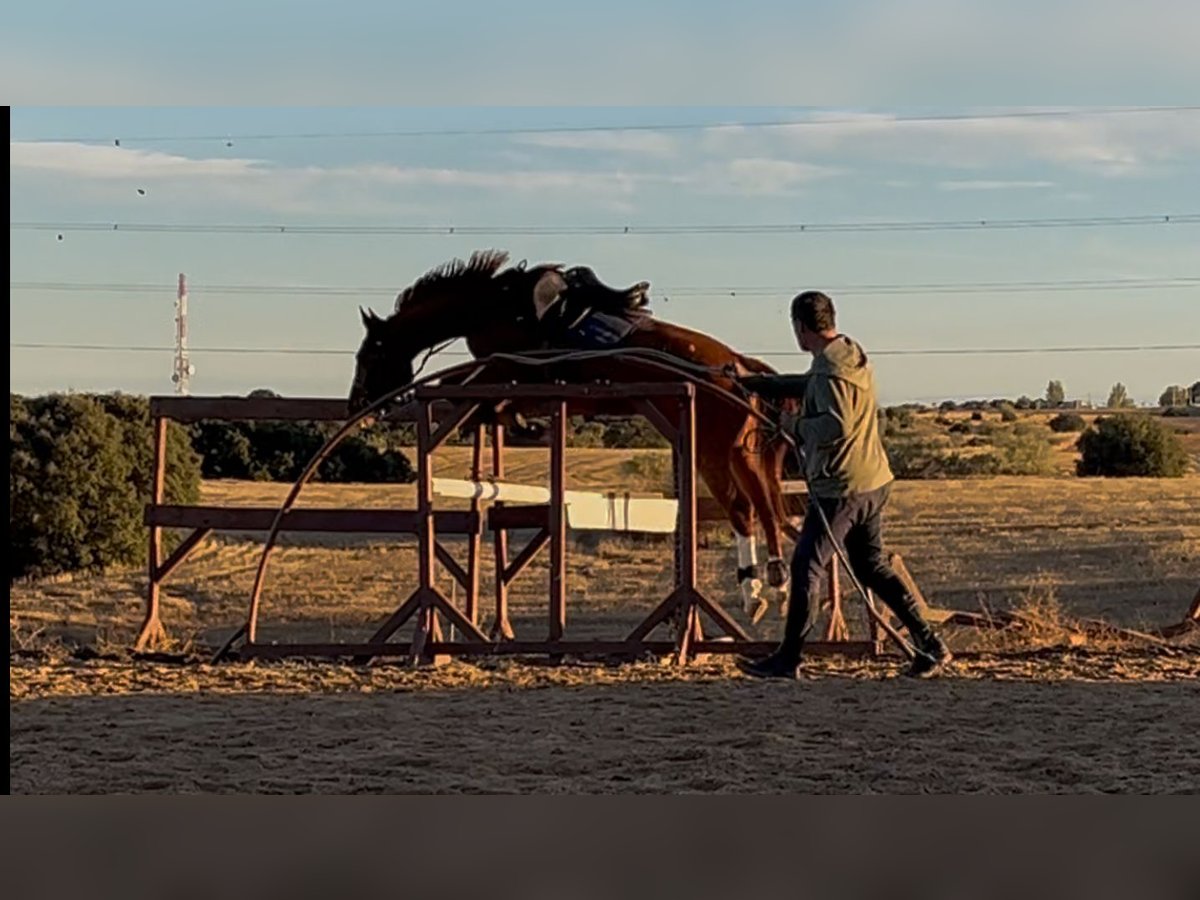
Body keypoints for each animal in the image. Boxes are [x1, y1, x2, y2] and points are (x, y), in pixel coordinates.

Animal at [347, 250, 799, 622]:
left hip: (712, 447)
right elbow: (491, 404)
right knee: (763, 505)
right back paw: (770, 586)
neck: (492, 305)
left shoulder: (511, 368)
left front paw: (521, 423)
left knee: (746, 508)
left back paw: (762, 588)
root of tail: (740, 366)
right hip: (736, 449)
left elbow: (473, 391)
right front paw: (524, 424)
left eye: (368, 356)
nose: (358, 407)